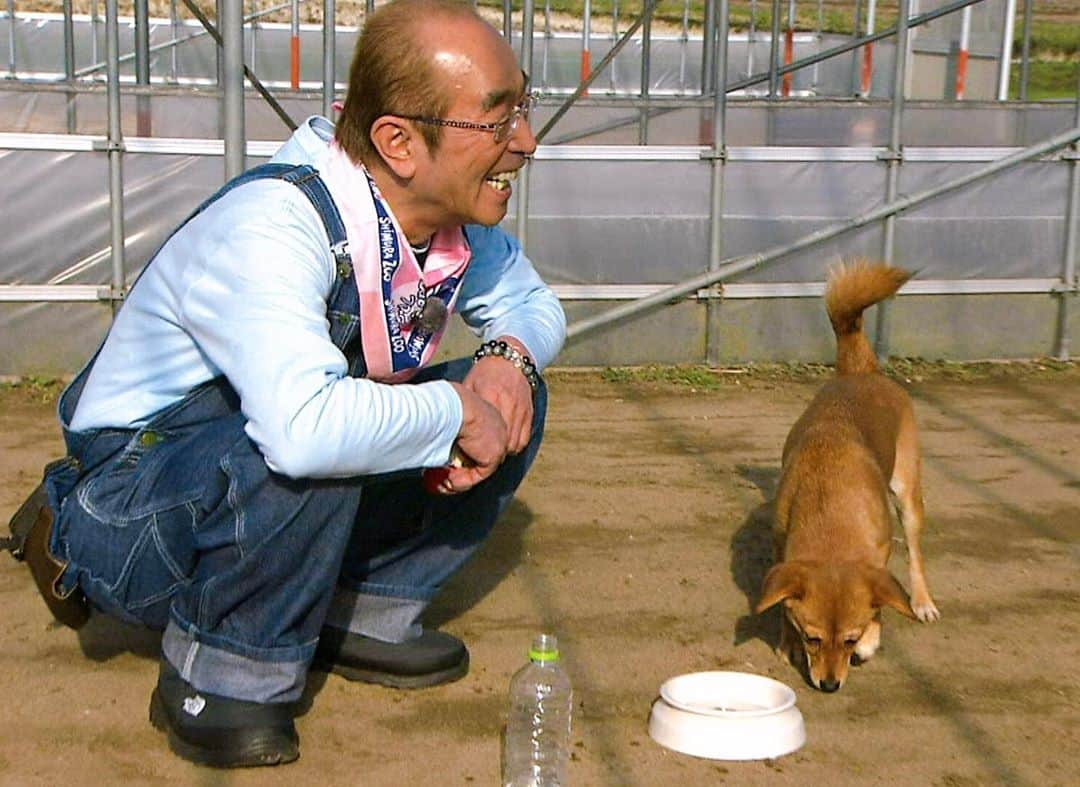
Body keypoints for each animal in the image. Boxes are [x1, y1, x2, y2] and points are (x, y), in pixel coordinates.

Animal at [756, 258, 941, 686]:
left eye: (850, 640)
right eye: (811, 638)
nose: (829, 684)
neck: (831, 511)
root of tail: (861, 370)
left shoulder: (879, 555)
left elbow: (881, 601)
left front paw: (873, 639)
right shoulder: (781, 548)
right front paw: (785, 641)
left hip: (908, 494)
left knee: (916, 555)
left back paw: (923, 601)